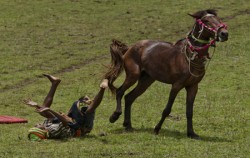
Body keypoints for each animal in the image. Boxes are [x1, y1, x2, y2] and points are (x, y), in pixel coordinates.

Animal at [102, 9, 228, 139]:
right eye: (206, 20)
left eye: (218, 18)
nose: (224, 34)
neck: (189, 56)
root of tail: (130, 48)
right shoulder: (176, 85)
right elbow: (167, 109)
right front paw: (157, 129)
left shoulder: (193, 87)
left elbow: (189, 111)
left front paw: (191, 133)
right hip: (133, 76)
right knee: (120, 92)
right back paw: (115, 116)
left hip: (146, 80)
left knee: (129, 97)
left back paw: (128, 125)